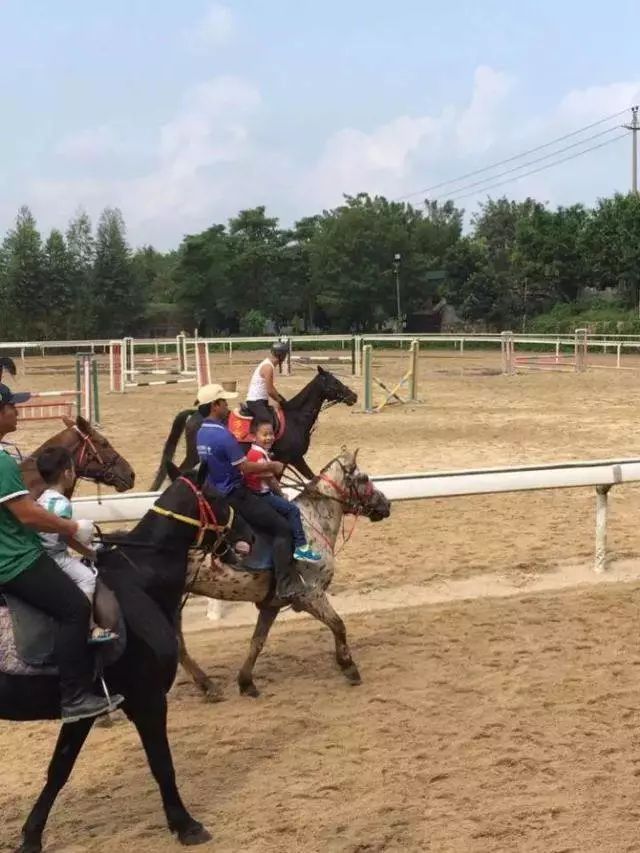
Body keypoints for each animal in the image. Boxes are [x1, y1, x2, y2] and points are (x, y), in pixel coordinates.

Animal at [2, 466, 252, 852]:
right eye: (219, 496)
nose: (248, 535)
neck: (139, 581)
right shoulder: (147, 699)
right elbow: (162, 763)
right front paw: (186, 825)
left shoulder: (86, 710)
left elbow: (59, 769)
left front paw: (31, 836)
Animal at [152, 364, 358, 490]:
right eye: (334, 382)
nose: (353, 396)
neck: (296, 418)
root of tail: (195, 413)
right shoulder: (292, 458)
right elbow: (311, 479)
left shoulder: (284, 461)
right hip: (194, 454)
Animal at [178, 450, 392, 704]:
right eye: (363, 477)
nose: (386, 504)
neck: (311, 522)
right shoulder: (311, 595)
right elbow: (338, 625)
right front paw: (348, 666)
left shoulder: (271, 605)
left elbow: (257, 642)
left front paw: (246, 682)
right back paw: (208, 686)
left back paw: (207, 685)